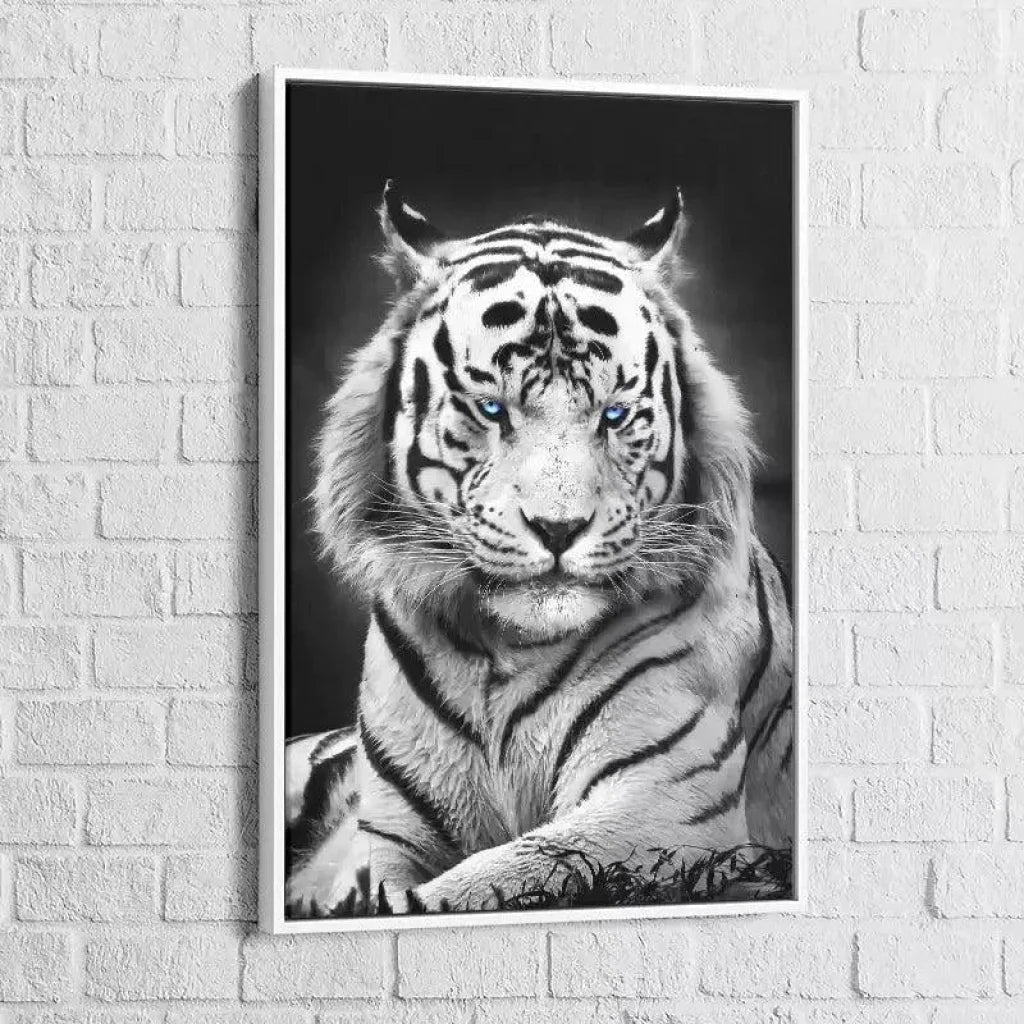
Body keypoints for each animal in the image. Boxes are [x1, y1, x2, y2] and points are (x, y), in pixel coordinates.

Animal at [285, 180, 794, 915]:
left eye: (615, 414)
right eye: (491, 408)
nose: (558, 529)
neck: (506, 655)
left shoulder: (665, 804)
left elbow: (499, 874)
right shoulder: (390, 832)